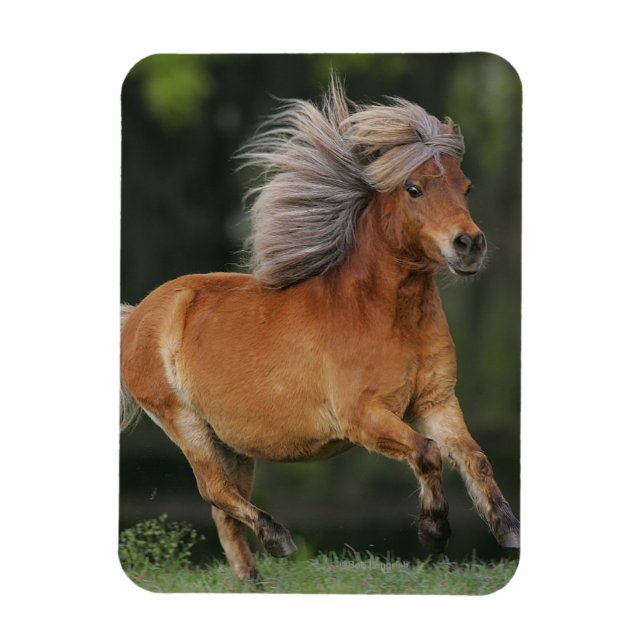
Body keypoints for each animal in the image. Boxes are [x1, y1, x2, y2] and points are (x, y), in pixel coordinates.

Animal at [120, 78, 520, 584]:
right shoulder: (364, 417)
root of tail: (136, 316)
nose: (469, 244)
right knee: (214, 491)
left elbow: (475, 458)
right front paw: (434, 533)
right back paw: (279, 539)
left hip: (231, 441)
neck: (384, 316)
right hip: (184, 422)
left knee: (224, 510)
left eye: (466, 186)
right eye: (414, 188)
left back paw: (253, 582)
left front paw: (509, 531)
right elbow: (428, 453)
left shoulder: (435, 402)